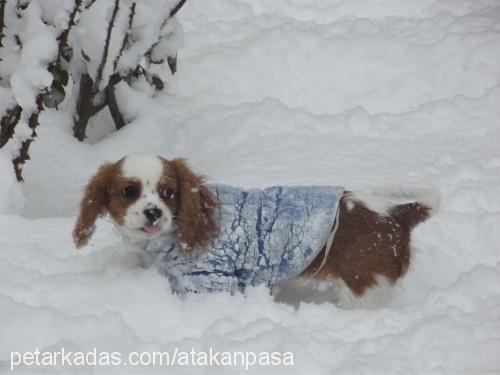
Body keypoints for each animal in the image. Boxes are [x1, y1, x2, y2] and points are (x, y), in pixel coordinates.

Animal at [73, 154, 438, 310]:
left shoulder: (214, 280)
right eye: (129, 191)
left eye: (168, 192)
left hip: (362, 290)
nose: (153, 212)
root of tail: (396, 215)